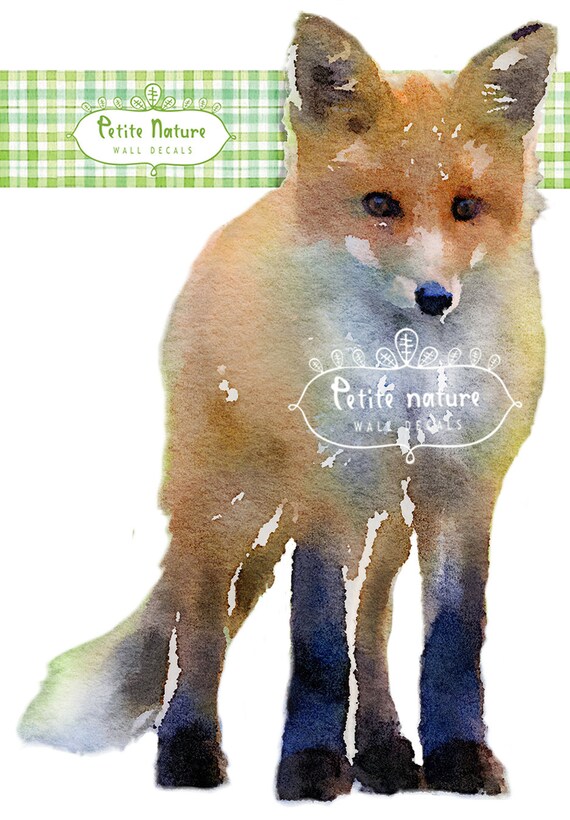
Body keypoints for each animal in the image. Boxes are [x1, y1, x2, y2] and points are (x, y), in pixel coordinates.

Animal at [19, 13, 556, 801]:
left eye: (466, 208)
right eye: (379, 205)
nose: (435, 298)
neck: (406, 376)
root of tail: (254, 210)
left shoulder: (461, 491)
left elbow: (451, 645)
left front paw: (460, 757)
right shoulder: (327, 492)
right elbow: (318, 646)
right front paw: (308, 766)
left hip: (385, 521)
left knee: (374, 628)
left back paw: (385, 750)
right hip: (230, 503)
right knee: (199, 626)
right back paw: (188, 750)